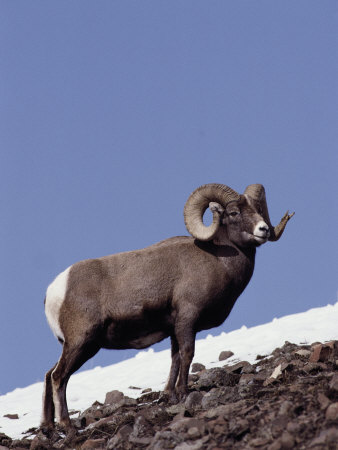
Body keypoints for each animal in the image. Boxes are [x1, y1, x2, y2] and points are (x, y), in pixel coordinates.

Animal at [41, 182, 294, 428]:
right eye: (233, 212)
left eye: (258, 209)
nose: (263, 229)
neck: (218, 260)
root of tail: (55, 291)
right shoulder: (187, 320)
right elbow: (187, 354)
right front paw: (183, 393)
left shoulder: (174, 329)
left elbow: (175, 359)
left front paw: (170, 395)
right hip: (82, 342)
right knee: (59, 377)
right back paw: (66, 426)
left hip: (76, 345)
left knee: (49, 374)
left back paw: (48, 428)